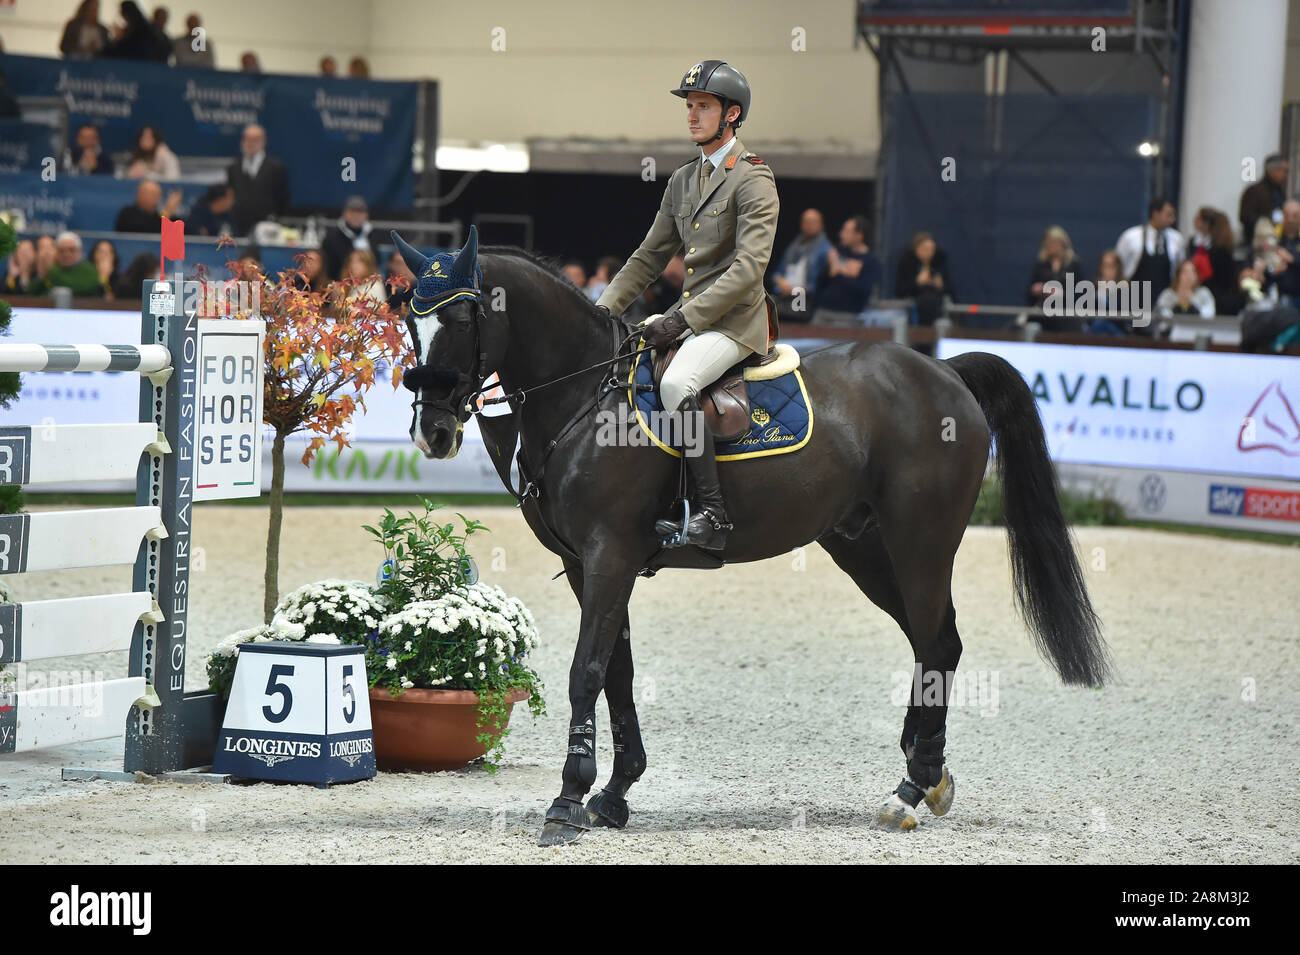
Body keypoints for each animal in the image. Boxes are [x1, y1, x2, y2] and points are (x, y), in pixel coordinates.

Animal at [392, 227, 1107, 847]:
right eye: (409, 322)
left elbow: (585, 671)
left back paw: (910, 788)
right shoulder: (584, 565)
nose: (433, 432)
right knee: (939, 644)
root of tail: (945, 371)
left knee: (935, 644)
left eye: (461, 321)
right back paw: (926, 777)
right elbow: (618, 672)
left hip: (920, 545)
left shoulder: (609, 555)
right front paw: (614, 796)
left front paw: (568, 803)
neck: (585, 396)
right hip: (864, 547)